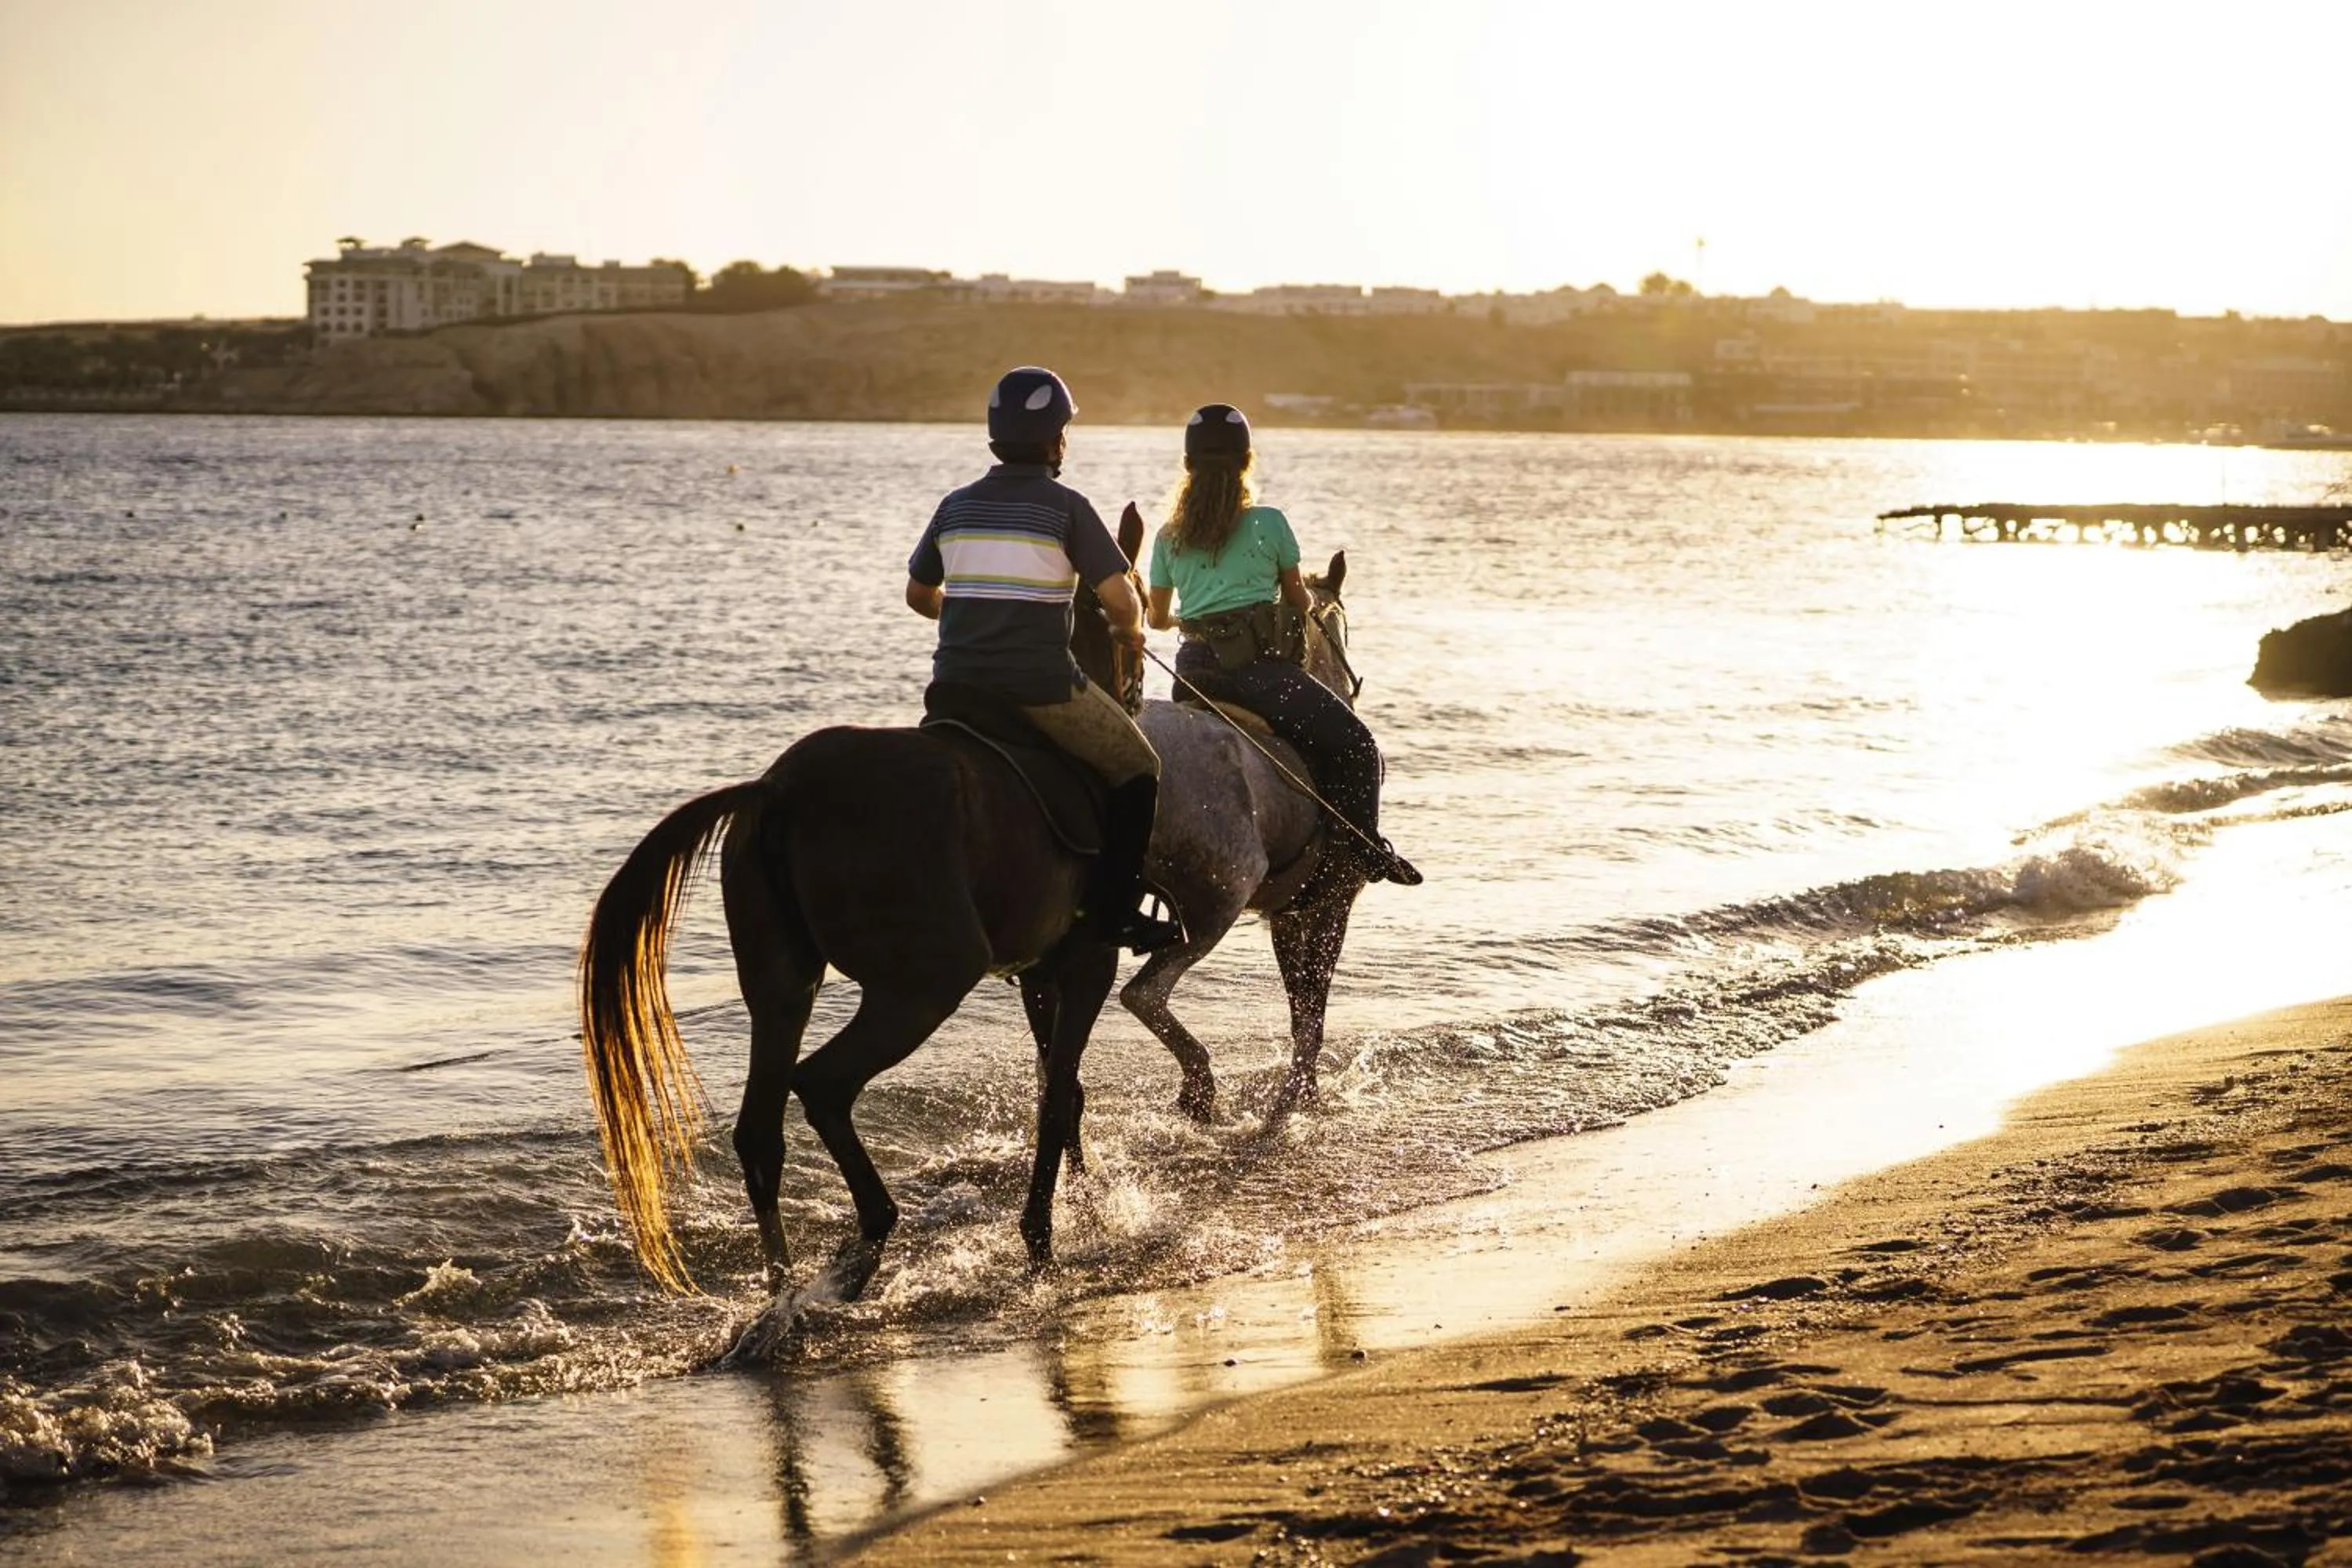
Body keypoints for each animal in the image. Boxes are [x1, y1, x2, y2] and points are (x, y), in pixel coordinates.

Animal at [577, 578, 1142, 1299]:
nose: (1132, 691)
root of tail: (781, 788)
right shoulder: (1089, 964)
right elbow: (1057, 1094)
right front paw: (1043, 1236)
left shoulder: (1041, 974)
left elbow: (1063, 1092)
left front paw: (1083, 1208)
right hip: (923, 987)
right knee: (822, 1085)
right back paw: (868, 1237)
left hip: (784, 988)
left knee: (760, 1133)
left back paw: (783, 1289)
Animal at [1108, 505, 1380, 1127]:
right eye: (1343, 627)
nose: (1355, 681)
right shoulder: (1331, 905)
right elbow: (1312, 1010)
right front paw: (1299, 1096)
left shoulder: (1287, 914)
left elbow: (1300, 1006)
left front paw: (1301, 1092)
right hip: (1219, 897)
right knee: (1144, 993)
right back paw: (1199, 1088)